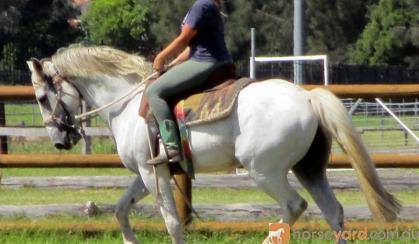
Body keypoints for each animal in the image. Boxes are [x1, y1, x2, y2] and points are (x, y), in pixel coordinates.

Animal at [26, 46, 400, 244]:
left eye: (42, 97)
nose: (59, 140)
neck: (127, 103)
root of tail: (307, 97)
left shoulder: (152, 174)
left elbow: (172, 221)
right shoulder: (148, 174)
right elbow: (120, 209)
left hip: (264, 171)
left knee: (294, 206)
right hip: (308, 168)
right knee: (333, 212)